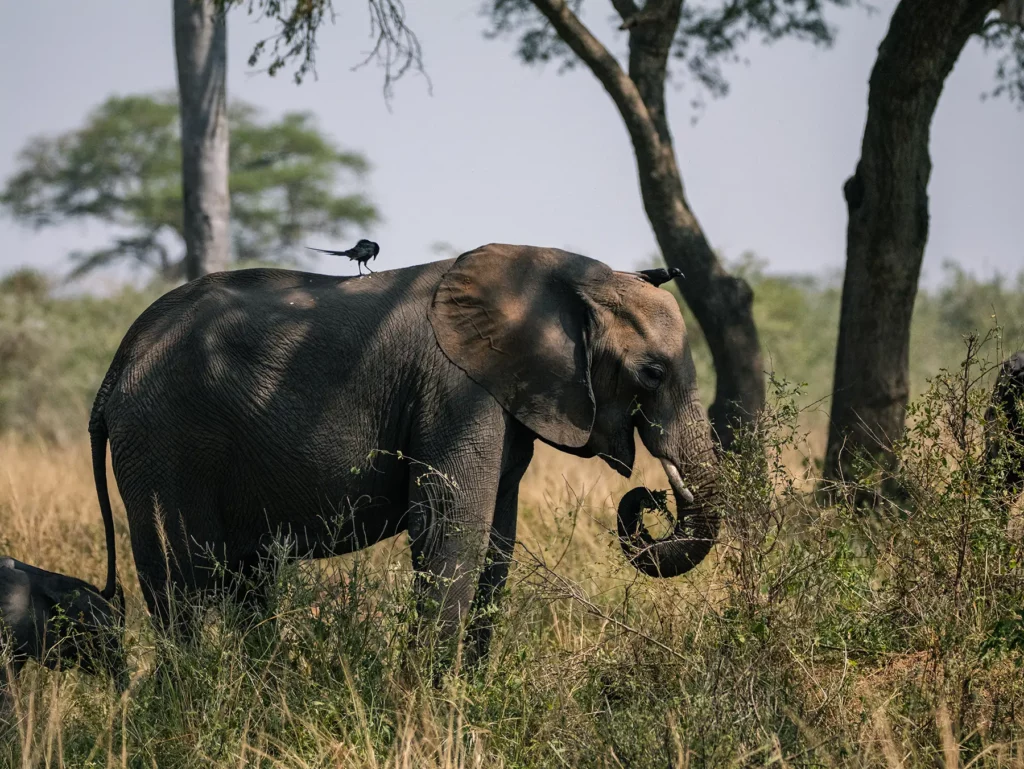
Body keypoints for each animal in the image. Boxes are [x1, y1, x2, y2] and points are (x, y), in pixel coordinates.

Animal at [88, 243, 722, 660]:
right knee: (182, 581)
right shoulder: (456, 391)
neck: (564, 272)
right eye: (652, 373)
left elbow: (496, 543)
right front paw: (430, 704)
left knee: (246, 580)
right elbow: (450, 529)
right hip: (163, 439)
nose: (648, 497)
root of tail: (118, 362)